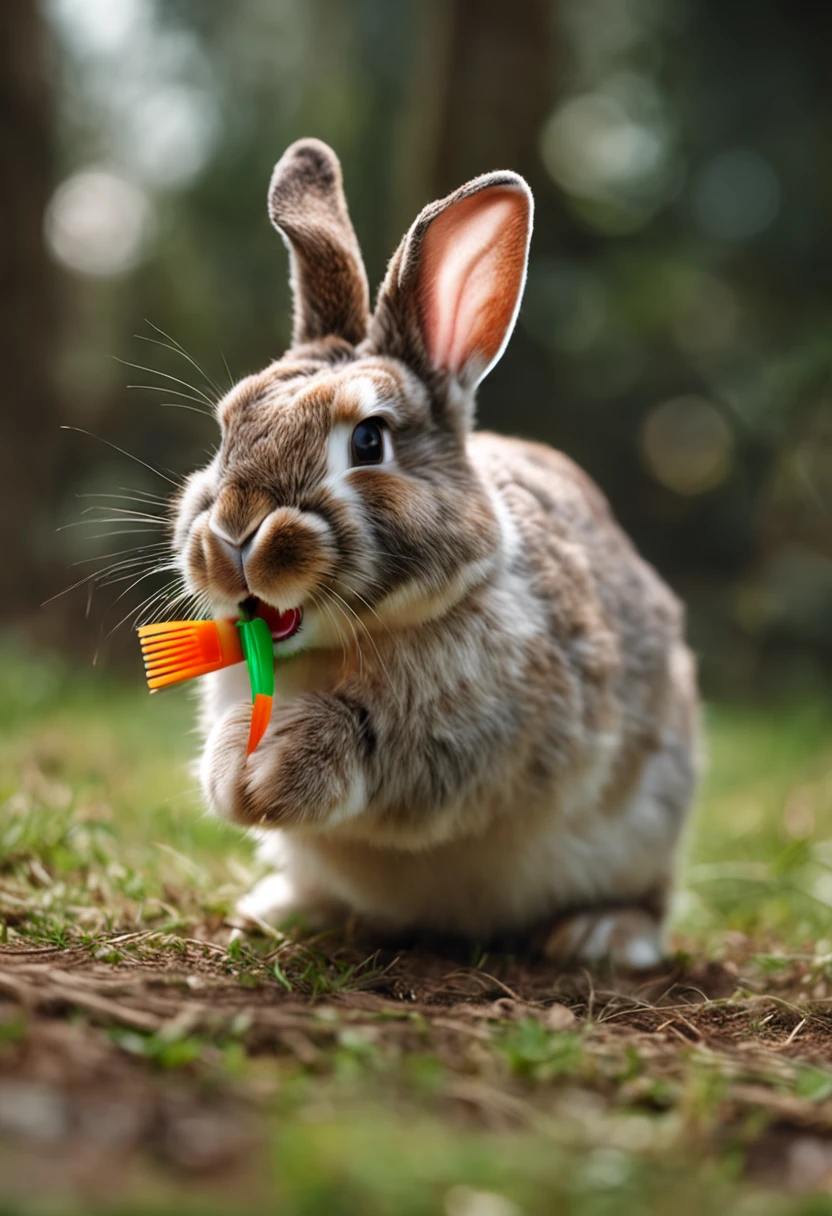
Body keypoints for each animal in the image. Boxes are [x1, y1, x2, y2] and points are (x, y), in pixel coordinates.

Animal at [172, 135, 700, 967]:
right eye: (228, 427)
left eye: (368, 441)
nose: (233, 534)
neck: (345, 640)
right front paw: (232, 775)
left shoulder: (484, 733)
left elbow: (390, 751)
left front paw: (266, 766)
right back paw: (280, 907)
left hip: (651, 816)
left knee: (647, 899)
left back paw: (601, 935)